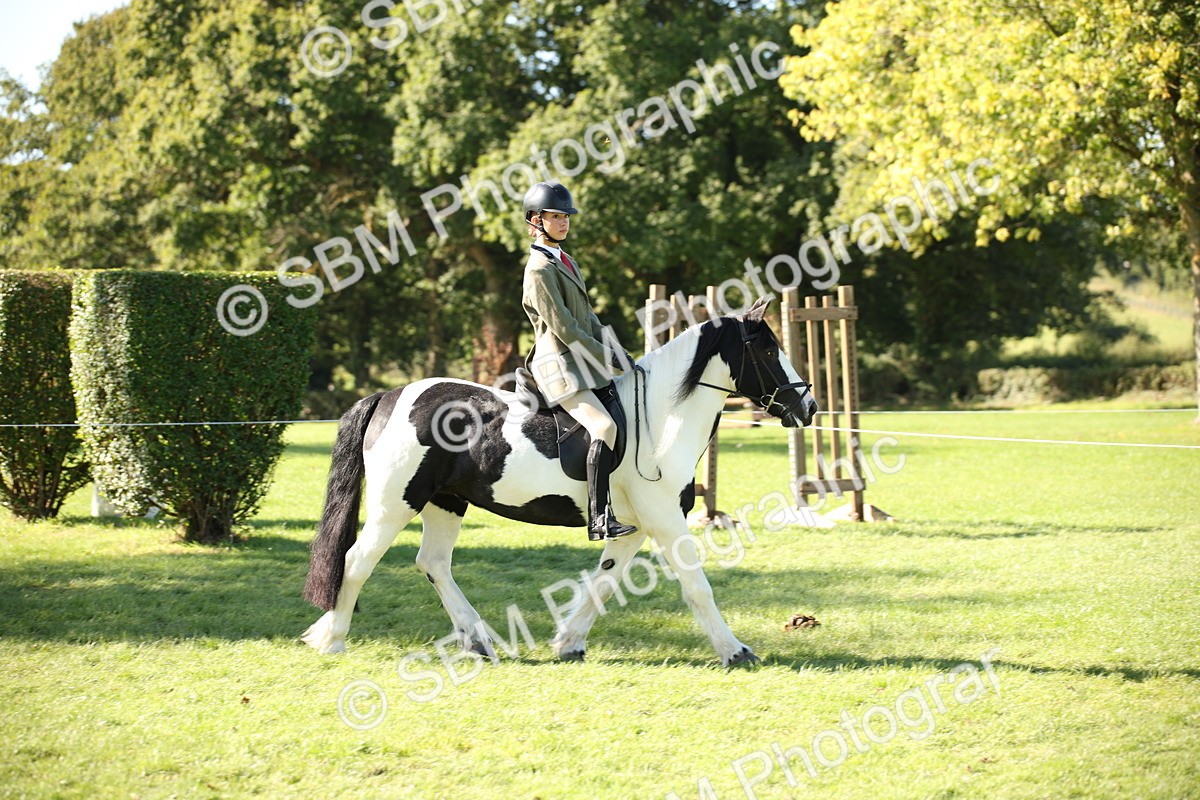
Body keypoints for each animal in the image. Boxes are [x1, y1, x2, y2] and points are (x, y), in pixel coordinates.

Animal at [301, 295, 818, 667]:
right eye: (768, 349)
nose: (808, 406)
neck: (660, 419)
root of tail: (390, 395)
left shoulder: (634, 526)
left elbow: (604, 583)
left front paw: (569, 642)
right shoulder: (666, 519)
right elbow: (697, 586)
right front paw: (736, 651)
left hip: (445, 502)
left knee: (433, 564)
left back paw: (477, 642)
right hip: (396, 504)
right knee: (357, 561)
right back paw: (332, 639)